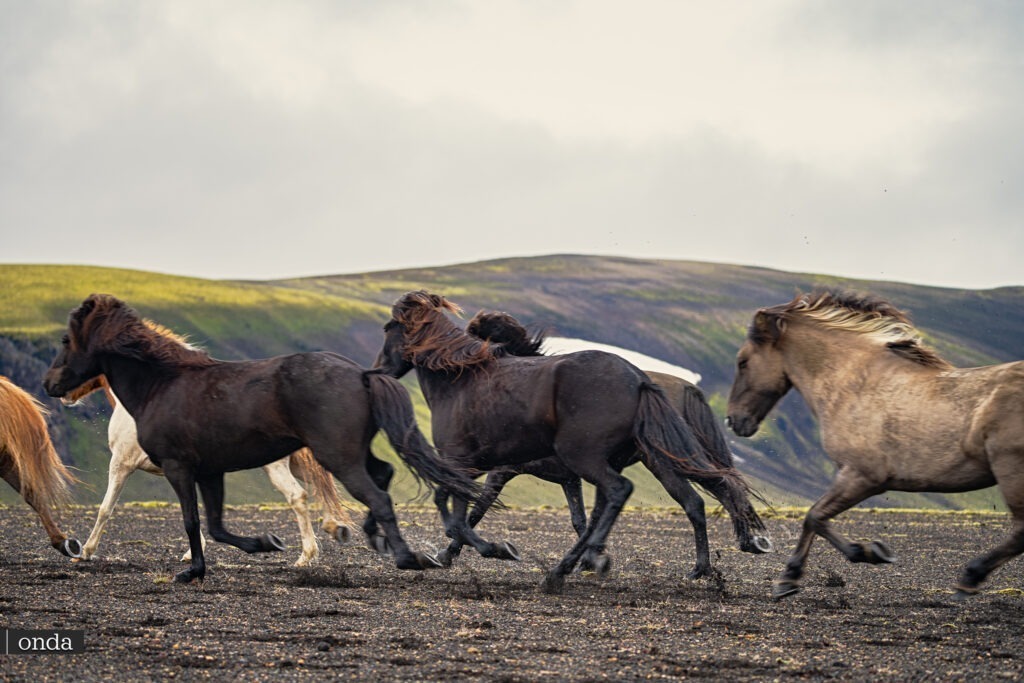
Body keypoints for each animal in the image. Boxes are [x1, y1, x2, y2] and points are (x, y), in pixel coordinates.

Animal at [62, 374, 357, 566]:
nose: (63, 395)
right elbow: (189, 509)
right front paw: (193, 552)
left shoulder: (121, 464)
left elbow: (105, 509)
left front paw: (86, 551)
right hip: (295, 463)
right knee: (320, 488)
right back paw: (334, 527)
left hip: (276, 467)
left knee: (298, 497)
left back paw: (305, 556)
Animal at [373, 290, 766, 594]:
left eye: (389, 327)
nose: (378, 371)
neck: (460, 379)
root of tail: (639, 378)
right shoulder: (549, 476)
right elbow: (568, 518)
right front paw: (452, 554)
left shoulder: (477, 466)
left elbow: (464, 511)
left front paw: (484, 551)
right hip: (634, 460)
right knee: (690, 498)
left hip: (598, 457)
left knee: (631, 492)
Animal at [726, 289, 1024, 600]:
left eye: (743, 361)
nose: (733, 420)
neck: (853, 382)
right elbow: (816, 518)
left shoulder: (861, 477)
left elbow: (814, 516)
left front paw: (797, 575)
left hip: (1011, 471)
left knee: (1020, 532)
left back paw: (970, 577)